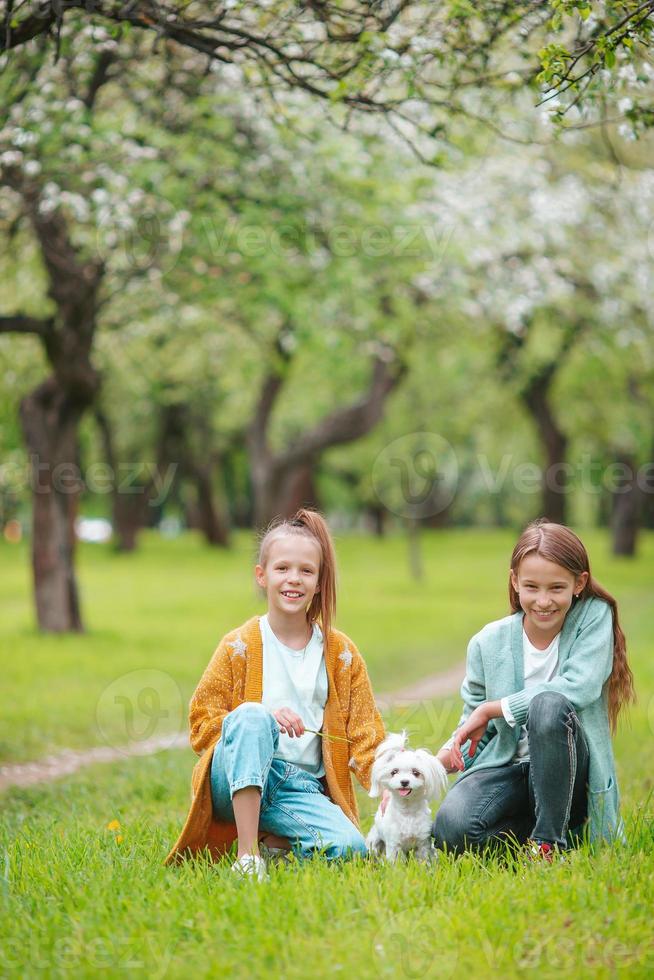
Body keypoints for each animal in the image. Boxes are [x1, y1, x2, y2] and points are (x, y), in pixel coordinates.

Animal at [366, 732, 448, 860]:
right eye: (394, 772)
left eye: (416, 772)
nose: (404, 782)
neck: (408, 810)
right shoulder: (394, 844)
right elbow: (396, 862)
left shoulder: (423, 842)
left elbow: (424, 860)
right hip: (375, 842)